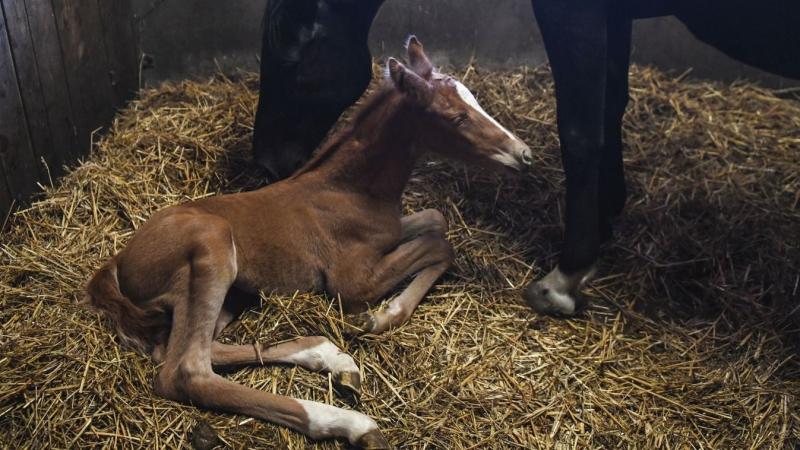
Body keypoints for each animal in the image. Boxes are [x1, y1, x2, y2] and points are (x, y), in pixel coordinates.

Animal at [86, 37, 532, 448]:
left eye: (473, 98)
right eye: (455, 117)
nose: (524, 154)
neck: (351, 190)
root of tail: (117, 263)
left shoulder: (389, 234)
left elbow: (437, 220)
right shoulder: (352, 281)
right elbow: (442, 245)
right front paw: (382, 316)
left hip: (224, 294)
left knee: (189, 349)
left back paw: (331, 358)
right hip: (212, 247)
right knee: (185, 370)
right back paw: (348, 421)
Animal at [255, 0, 800, 314]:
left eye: (287, 49)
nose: (266, 160)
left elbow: (581, 130)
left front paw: (565, 278)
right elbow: (611, 107)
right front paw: (605, 219)